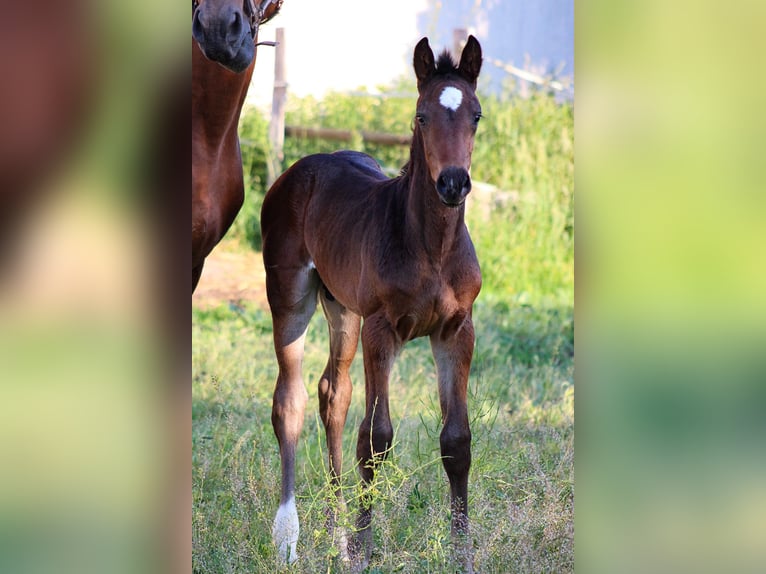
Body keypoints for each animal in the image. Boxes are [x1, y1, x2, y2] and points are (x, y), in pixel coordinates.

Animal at [260, 36, 484, 572]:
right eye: (422, 115)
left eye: (476, 115)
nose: (453, 183)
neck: (432, 248)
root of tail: (300, 168)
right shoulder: (382, 330)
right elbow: (377, 437)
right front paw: (364, 550)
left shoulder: (456, 330)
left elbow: (457, 440)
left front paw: (461, 553)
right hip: (291, 298)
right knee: (290, 400)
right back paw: (288, 537)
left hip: (342, 310)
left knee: (332, 394)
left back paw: (335, 533)